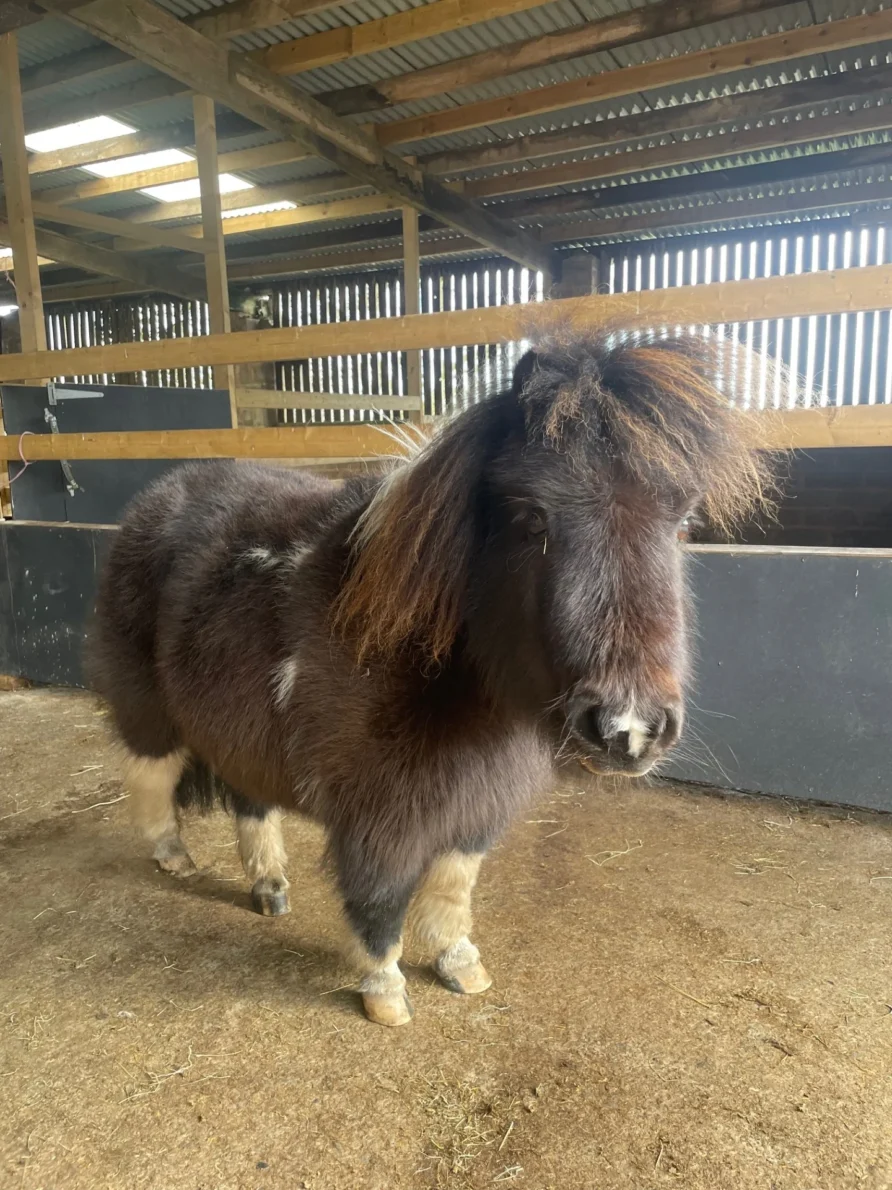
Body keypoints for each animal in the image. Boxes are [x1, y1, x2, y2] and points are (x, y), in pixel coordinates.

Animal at [88, 328, 772, 1027]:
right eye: (532, 516)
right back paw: (173, 857)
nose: (629, 730)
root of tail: (154, 502)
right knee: (151, 775)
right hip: (150, 712)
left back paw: (269, 886)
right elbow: (381, 897)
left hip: (241, 730)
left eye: (684, 522)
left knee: (250, 800)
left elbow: (450, 888)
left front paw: (459, 964)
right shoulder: (381, 816)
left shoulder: (471, 807)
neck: (413, 655)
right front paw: (385, 990)